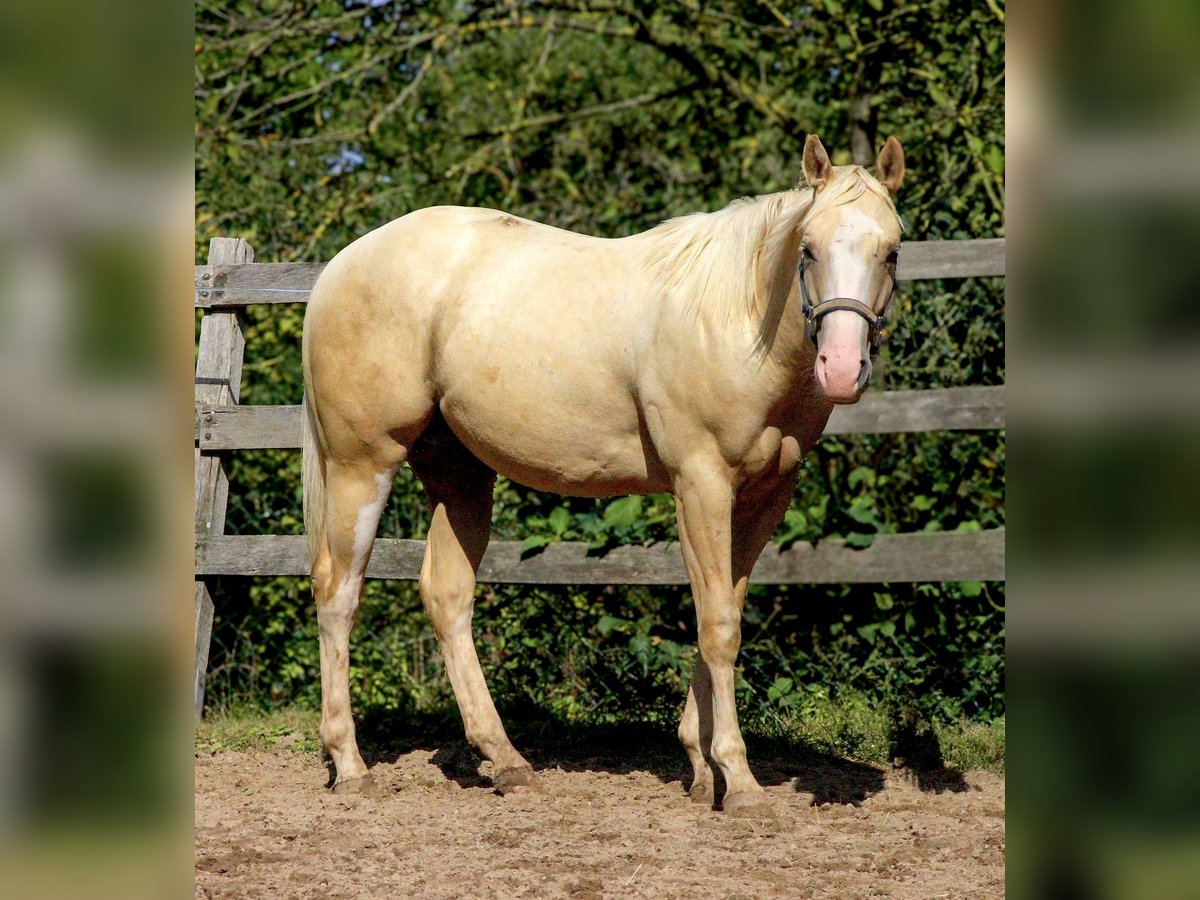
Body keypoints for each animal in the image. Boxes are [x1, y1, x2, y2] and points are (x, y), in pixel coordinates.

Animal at [300, 133, 902, 816]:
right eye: (809, 247)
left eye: (891, 250)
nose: (842, 368)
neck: (736, 318)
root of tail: (341, 265)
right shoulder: (701, 485)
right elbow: (718, 627)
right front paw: (739, 780)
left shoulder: (763, 499)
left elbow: (721, 611)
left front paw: (700, 767)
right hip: (362, 464)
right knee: (339, 592)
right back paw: (351, 765)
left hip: (459, 476)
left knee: (447, 595)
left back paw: (506, 761)